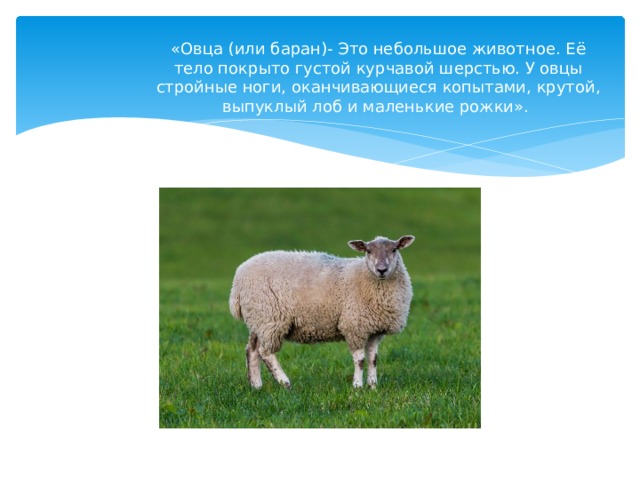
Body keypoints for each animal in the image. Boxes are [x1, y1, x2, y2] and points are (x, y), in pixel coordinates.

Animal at [229, 235, 415, 389]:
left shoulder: (375, 330)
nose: (381, 269)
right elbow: (360, 360)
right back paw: (285, 382)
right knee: (266, 352)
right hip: (270, 318)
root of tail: (238, 279)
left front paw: (373, 386)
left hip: (258, 319)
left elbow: (373, 359)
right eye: (368, 250)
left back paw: (256, 385)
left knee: (252, 350)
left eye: (394, 249)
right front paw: (357, 387)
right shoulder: (354, 326)